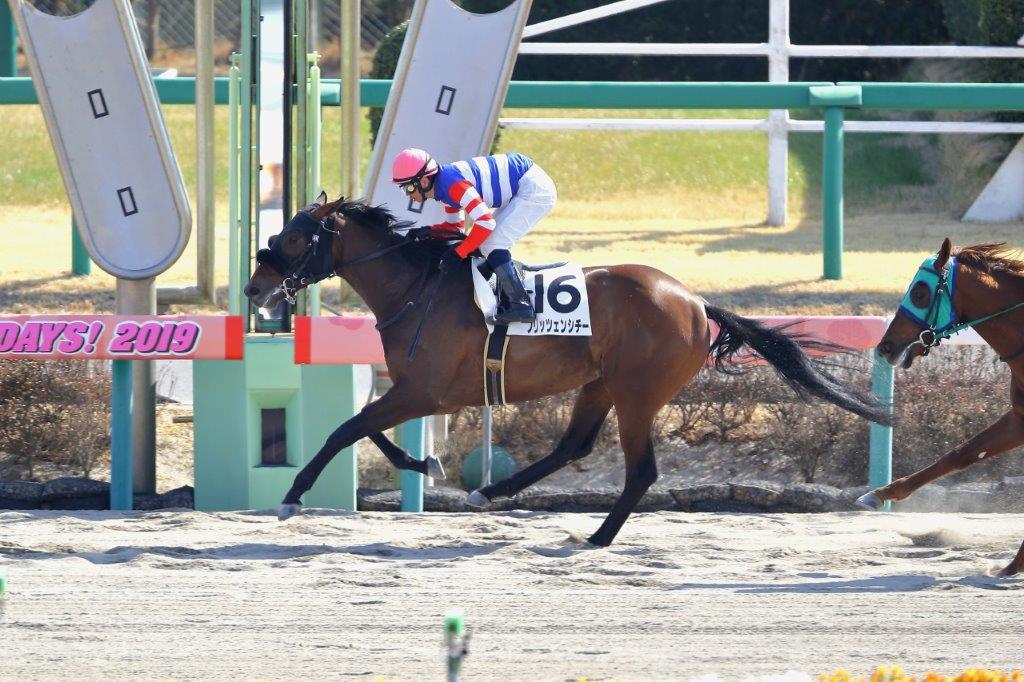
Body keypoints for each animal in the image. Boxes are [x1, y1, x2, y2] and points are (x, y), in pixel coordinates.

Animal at [244, 193, 892, 547]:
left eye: (294, 237)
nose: (253, 288)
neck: (416, 287)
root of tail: (696, 301)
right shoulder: (414, 390)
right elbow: (363, 427)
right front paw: (423, 462)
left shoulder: (427, 391)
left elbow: (344, 430)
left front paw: (293, 495)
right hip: (600, 383)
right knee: (574, 445)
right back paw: (491, 491)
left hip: (637, 392)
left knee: (640, 470)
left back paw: (598, 535)